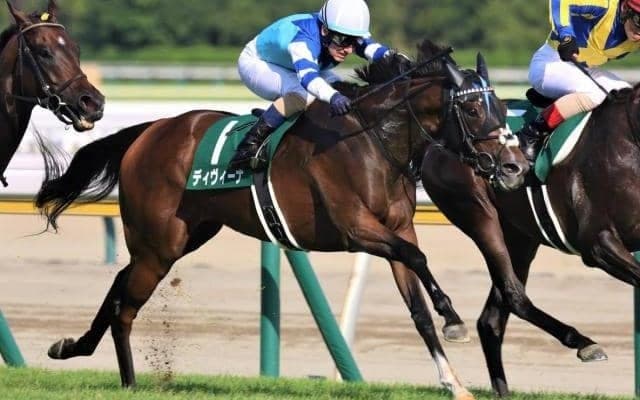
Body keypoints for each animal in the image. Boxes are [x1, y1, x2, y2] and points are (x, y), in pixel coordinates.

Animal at [35, 40, 528, 399]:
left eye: (504, 109)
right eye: (471, 109)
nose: (514, 167)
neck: (373, 142)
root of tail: (150, 130)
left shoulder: (394, 230)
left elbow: (418, 308)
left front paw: (455, 382)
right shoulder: (357, 230)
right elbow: (419, 259)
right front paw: (453, 317)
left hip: (181, 237)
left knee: (120, 282)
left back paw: (72, 347)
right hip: (159, 244)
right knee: (126, 305)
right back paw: (130, 381)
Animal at [421, 85, 640, 397]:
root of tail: (434, 145)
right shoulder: (599, 243)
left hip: (520, 239)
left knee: (491, 320)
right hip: (479, 216)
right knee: (515, 297)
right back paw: (584, 343)